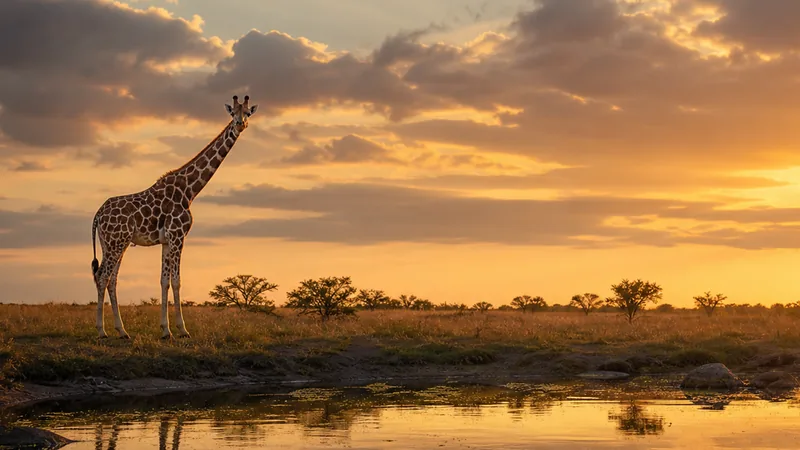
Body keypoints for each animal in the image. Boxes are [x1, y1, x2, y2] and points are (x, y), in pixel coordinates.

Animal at [90, 95, 258, 339]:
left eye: (247, 113)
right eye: (232, 113)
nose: (240, 125)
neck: (189, 190)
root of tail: (97, 215)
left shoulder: (166, 241)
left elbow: (164, 281)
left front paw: (165, 330)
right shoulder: (178, 235)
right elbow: (177, 281)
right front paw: (182, 329)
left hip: (112, 244)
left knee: (110, 279)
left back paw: (122, 331)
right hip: (116, 243)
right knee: (103, 276)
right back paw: (102, 331)